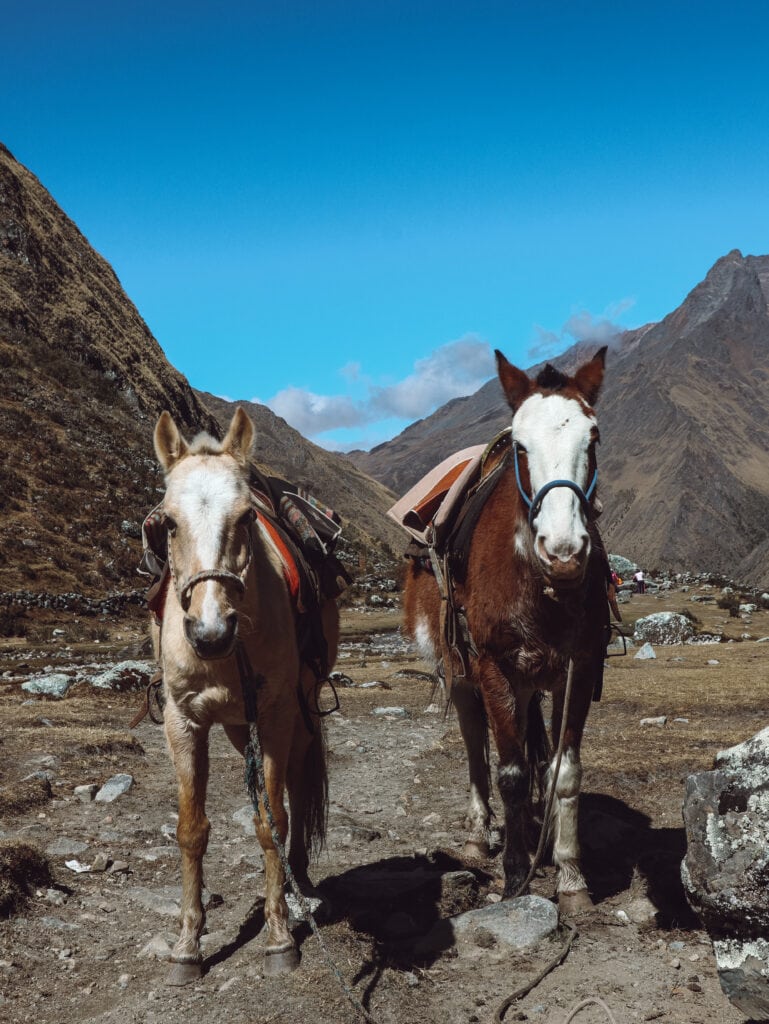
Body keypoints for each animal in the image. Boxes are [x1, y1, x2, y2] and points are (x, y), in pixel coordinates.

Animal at [151, 405, 337, 983]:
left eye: (247, 519)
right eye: (167, 522)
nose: (210, 633)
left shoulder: (274, 714)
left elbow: (271, 821)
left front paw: (278, 938)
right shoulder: (183, 722)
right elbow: (191, 829)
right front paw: (187, 945)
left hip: (298, 710)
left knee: (294, 785)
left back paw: (298, 880)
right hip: (236, 725)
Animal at [405, 350, 610, 913]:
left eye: (593, 439)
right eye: (521, 446)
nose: (563, 551)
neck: (541, 585)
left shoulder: (578, 668)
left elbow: (563, 772)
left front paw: (571, 876)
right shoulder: (493, 668)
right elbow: (512, 775)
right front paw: (517, 876)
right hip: (459, 672)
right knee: (476, 746)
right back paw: (480, 835)